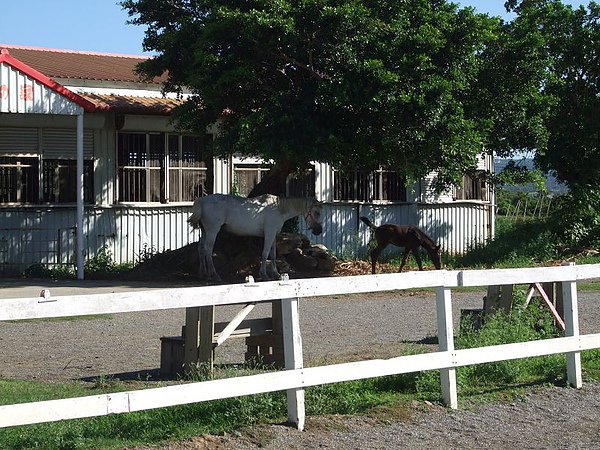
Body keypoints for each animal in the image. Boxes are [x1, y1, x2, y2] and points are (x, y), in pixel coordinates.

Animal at [190, 193, 326, 282]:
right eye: (316, 212)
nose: (319, 231)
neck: (279, 208)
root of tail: (202, 201)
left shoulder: (273, 235)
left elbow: (273, 254)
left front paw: (276, 274)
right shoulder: (269, 234)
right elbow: (265, 254)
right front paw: (264, 275)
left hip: (205, 231)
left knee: (201, 249)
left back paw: (204, 274)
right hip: (212, 231)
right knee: (208, 250)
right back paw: (214, 275)